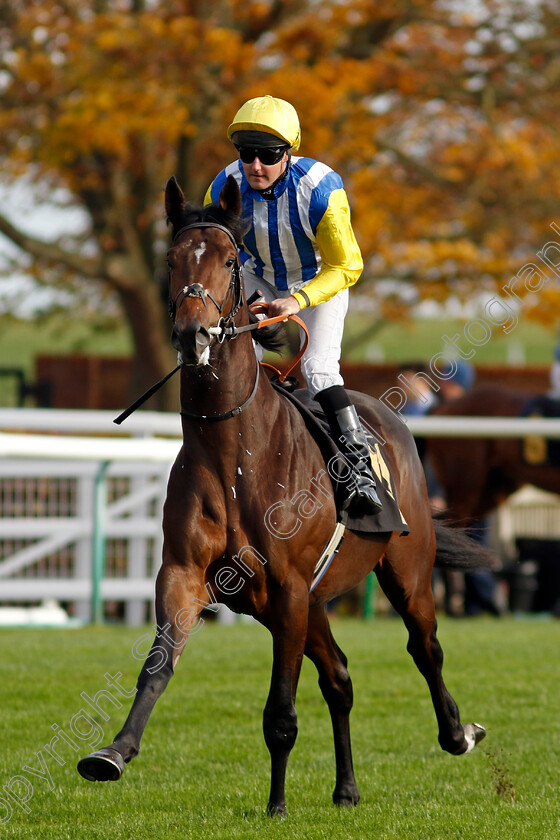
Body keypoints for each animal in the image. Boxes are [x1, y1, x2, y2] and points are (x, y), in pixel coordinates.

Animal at [77, 176, 486, 812]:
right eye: (170, 260)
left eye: (229, 260)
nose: (193, 333)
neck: (234, 454)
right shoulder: (189, 574)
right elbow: (158, 664)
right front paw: (113, 752)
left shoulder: (290, 588)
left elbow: (281, 713)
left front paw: (275, 806)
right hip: (305, 606)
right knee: (339, 677)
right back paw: (346, 788)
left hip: (404, 571)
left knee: (426, 647)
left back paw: (457, 733)